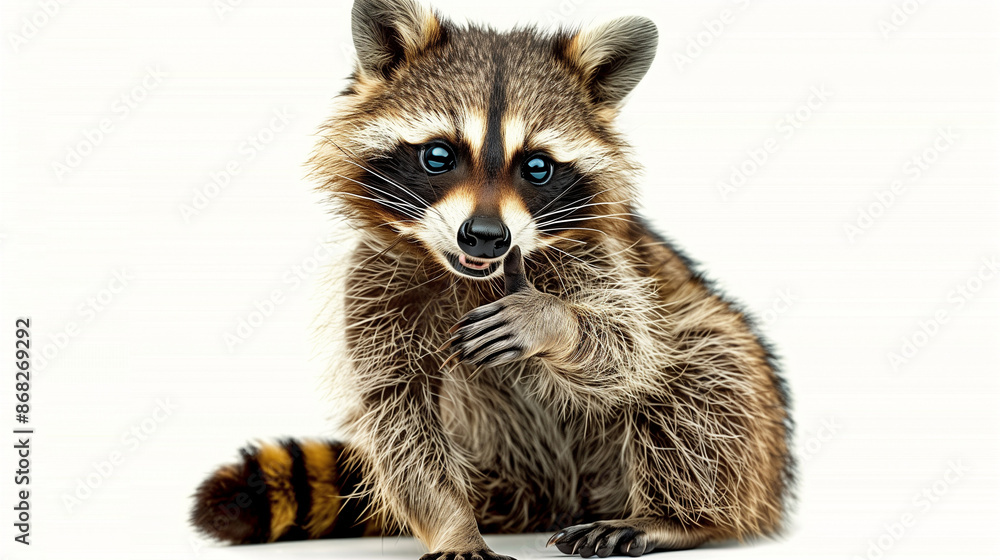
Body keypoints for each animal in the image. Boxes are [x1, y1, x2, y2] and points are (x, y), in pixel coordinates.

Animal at [190, 0, 794, 558]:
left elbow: (629, 349)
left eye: (537, 167)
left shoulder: (605, 258)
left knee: (703, 372)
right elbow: (400, 413)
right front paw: (453, 524)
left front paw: (551, 322)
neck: (464, 272)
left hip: (735, 382)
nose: (485, 237)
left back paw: (678, 517)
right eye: (439, 155)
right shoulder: (371, 283)